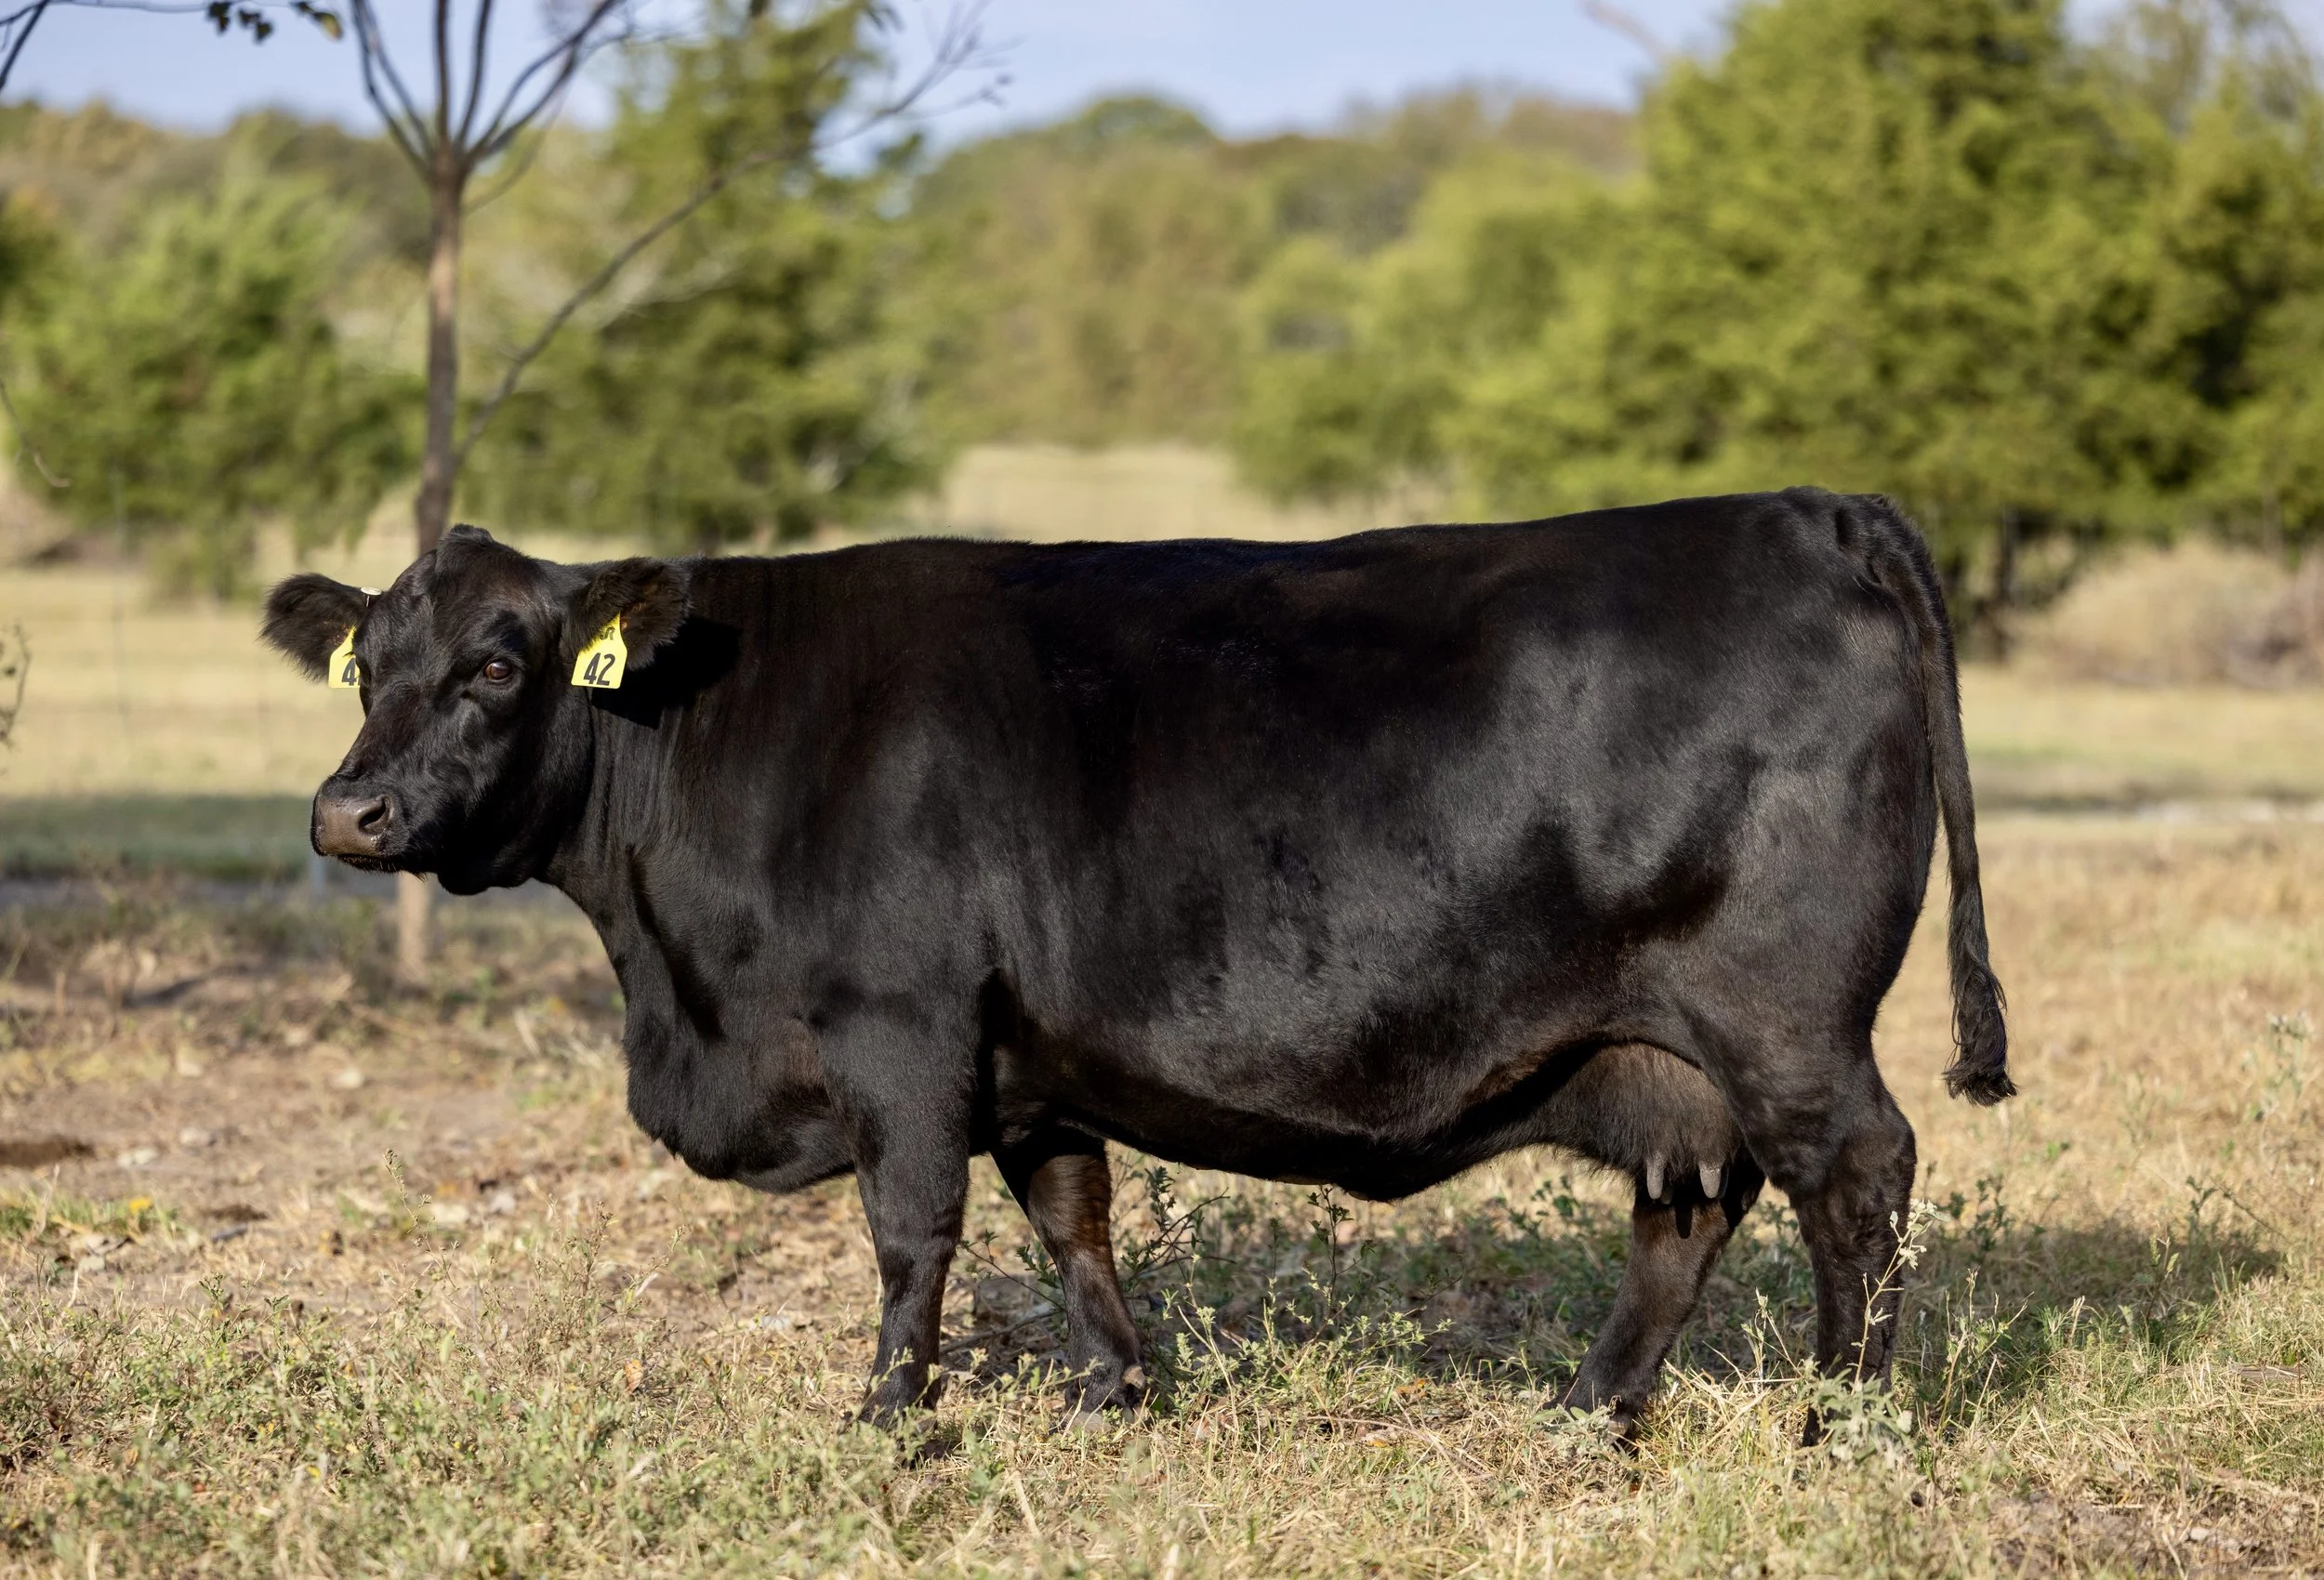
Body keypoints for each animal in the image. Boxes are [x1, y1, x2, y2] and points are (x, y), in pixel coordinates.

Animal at [261, 487, 2009, 1437]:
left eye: (501, 664)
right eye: (369, 666)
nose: (348, 810)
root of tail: (1809, 513)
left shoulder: (900, 1028)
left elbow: (914, 1230)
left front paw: (891, 1412)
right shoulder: (1028, 1055)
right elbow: (1070, 1215)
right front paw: (1114, 1387)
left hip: (1784, 1022)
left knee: (1861, 1179)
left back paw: (1838, 1419)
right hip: (1665, 1048)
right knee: (1688, 1209)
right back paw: (1596, 1405)